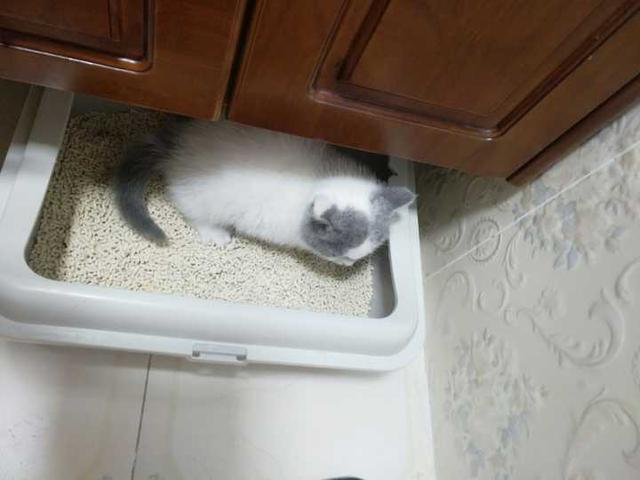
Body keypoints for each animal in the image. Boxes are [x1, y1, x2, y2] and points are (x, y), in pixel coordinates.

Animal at [115, 119, 415, 266]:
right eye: (339, 255)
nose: (349, 265)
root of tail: (174, 145)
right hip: (202, 198)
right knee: (194, 212)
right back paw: (216, 234)